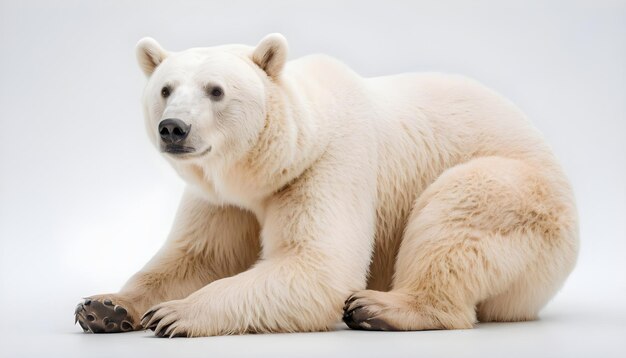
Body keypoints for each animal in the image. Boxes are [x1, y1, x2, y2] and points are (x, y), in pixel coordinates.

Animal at [75, 32, 576, 336]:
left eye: (215, 90)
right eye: (165, 89)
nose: (174, 128)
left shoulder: (328, 165)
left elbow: (317, 266)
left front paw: (177, 313)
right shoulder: (222, 199)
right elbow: (196, 256)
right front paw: (105, 306)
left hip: (526, 199)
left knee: (459, 211)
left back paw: (379, 308)